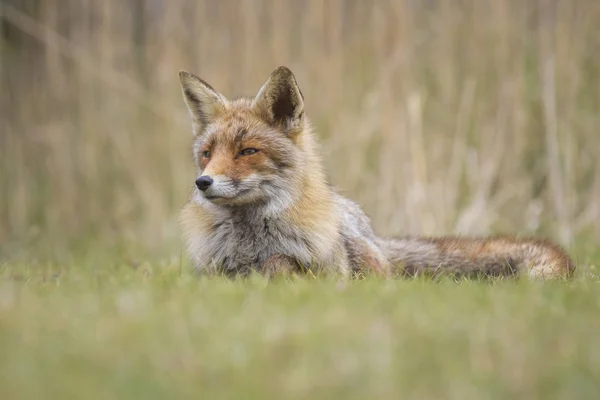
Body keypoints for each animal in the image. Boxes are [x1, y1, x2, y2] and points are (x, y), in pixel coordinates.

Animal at [176, 66, 576, 278]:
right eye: (207, 155)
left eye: (247, 151)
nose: (203, 182)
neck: (252, 243)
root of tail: (370, 230)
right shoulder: (210, 274)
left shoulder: (329, 273)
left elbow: (281, 263)